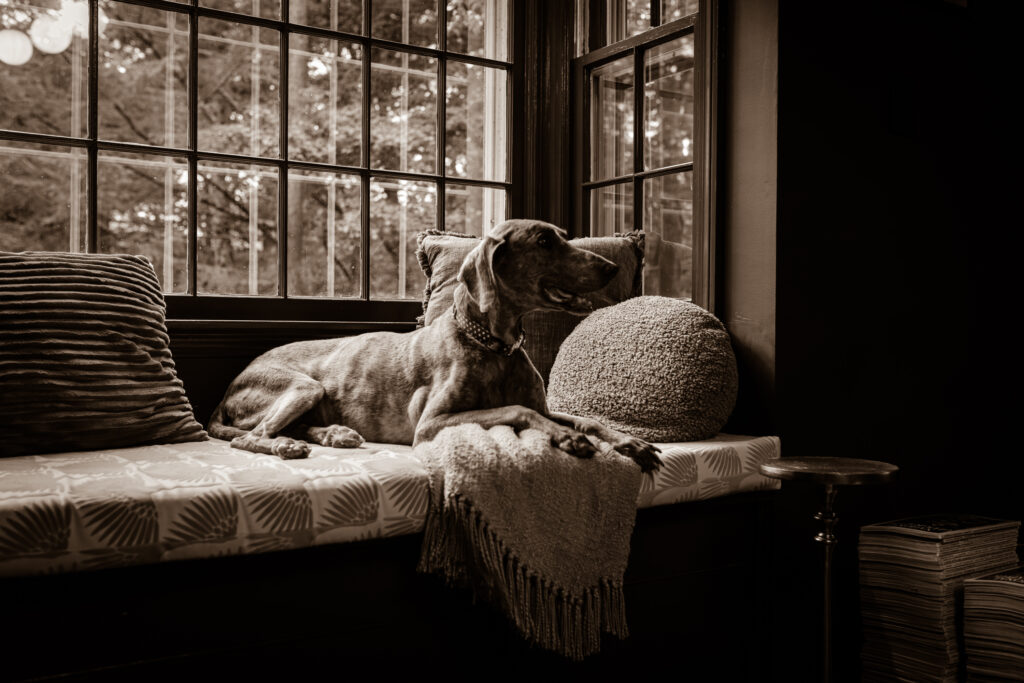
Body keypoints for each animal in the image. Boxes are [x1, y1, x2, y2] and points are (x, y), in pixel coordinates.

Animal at [209, 218, 663, 471]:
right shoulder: (431, 423)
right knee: (246, 437)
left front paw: (629, 441)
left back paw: (333, 434)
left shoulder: (542, 404)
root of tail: (228, 389)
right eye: (544, 242)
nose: (612, 268)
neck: (494, 347)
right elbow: (519, 411)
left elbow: (583, 419)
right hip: (304, 385)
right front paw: (566, 439)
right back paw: (286, 443)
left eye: (563, 237)